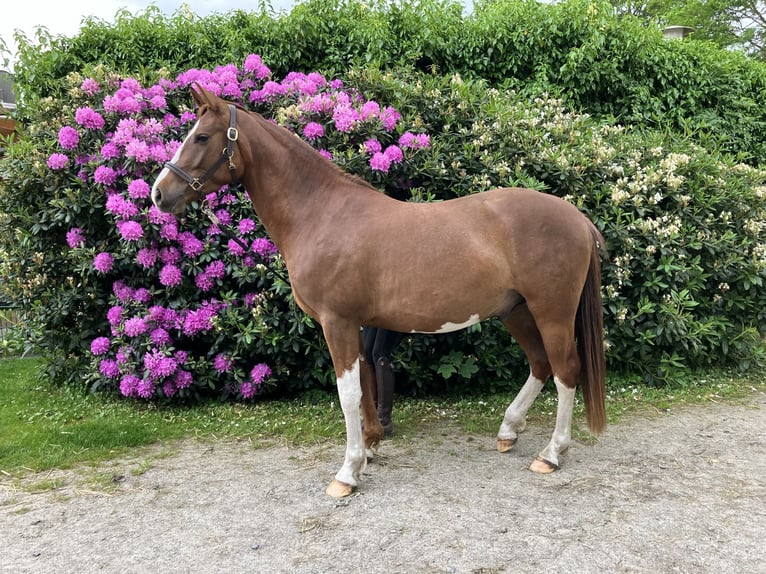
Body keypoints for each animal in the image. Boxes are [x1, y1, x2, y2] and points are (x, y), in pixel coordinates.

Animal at [153, 85, 608, 500]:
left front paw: (347, 472)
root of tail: (577, 217)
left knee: (566, 370)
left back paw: (551, 453)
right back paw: (509, 430)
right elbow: (367, 383)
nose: (159, 193)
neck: (321, 214)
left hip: (551, 312)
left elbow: (348, 393)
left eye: (201, 137)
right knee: (540, 365)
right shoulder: (355, 324)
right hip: (517, 310)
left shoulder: (336, 322)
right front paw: (369, 449)